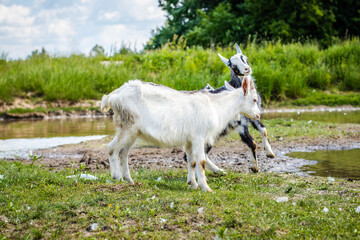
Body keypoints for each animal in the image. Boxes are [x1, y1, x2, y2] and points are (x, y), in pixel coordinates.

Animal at [101, 78, 262, 192]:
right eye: (254, 99)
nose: (258, 115)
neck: (216, 106)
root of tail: (112, 96)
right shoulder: (198, 137)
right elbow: (201, 162)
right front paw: (206, 188)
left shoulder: (189, 140)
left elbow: (191, 161)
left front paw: (193, 184)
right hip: (127, 127)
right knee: (112, 148)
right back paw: (117, 177)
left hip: (132, 131)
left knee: (123, 152)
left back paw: (129, 179)